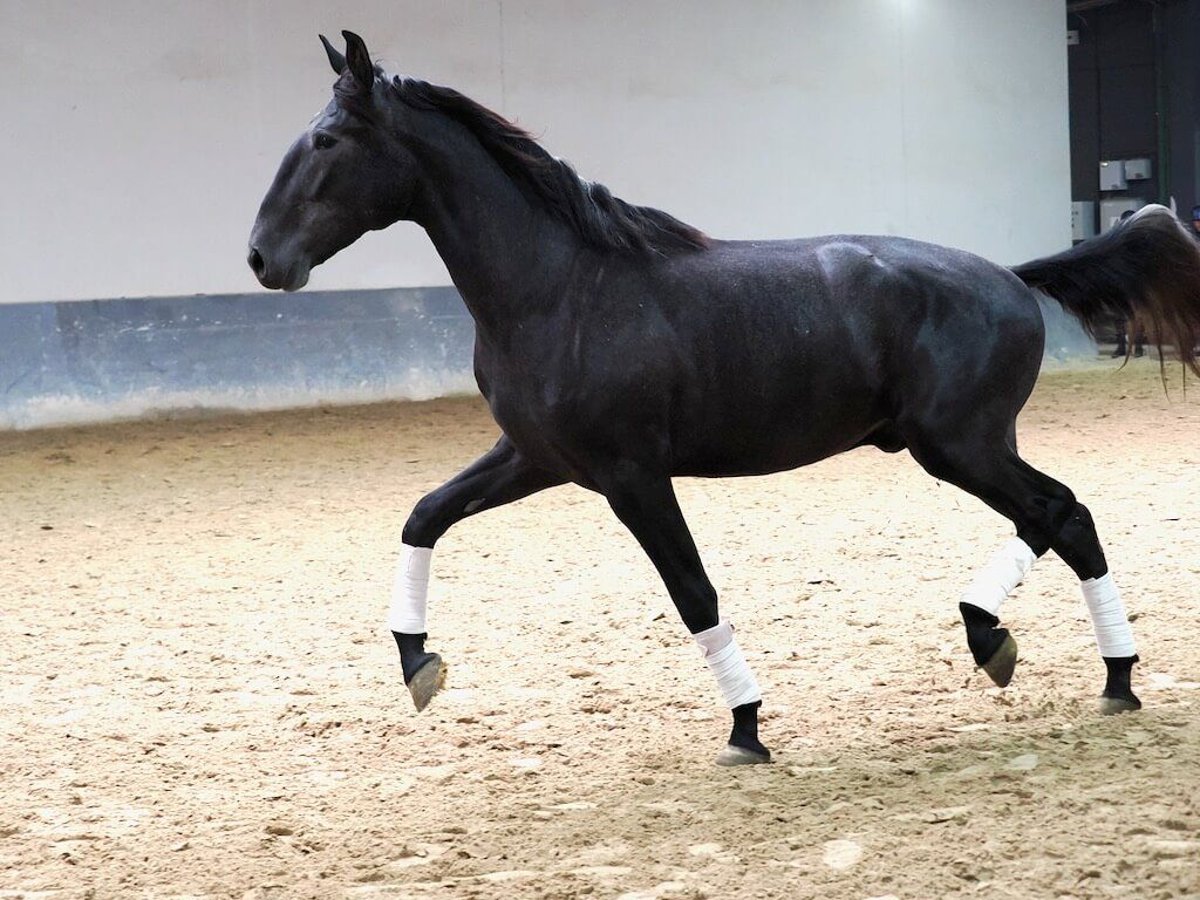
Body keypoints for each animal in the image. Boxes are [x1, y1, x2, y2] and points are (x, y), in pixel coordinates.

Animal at [246, 33, 1200, 768]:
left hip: (960, 445)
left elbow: (693, 593)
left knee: (1060, 512)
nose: (261, 258)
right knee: (1062, 517)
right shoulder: (538, 459)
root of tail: (1011, 274)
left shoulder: (632, 477)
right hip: (965, 446)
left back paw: (1042, 652)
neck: (562, 289)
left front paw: (745, 727)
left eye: (326, 141)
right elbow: (425, 514)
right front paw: (418, 663)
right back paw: (1081, 668)